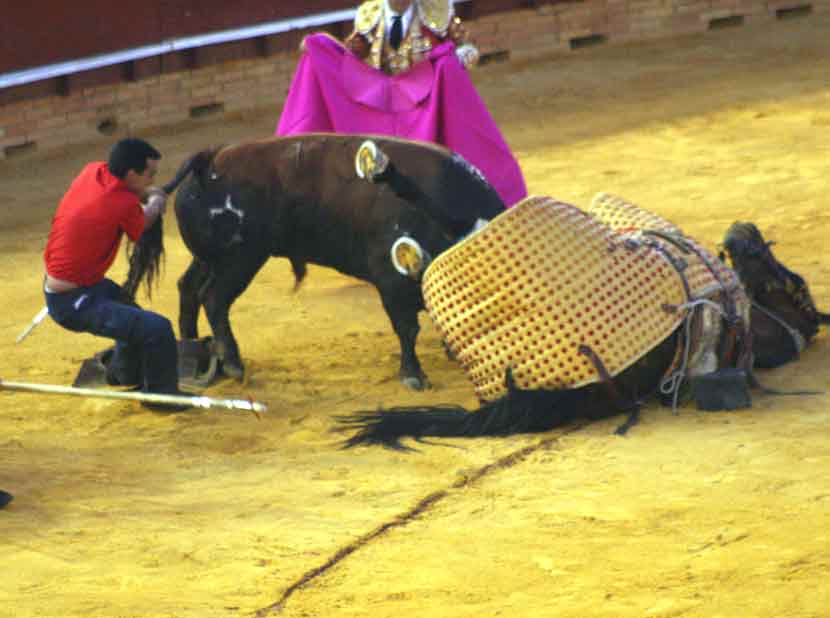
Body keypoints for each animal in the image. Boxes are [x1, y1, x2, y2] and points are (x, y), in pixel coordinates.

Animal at [167, 135, 508, 388]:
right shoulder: (391, 282)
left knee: (188, 288)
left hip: (210, 258)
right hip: (240, 259)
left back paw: (192, 353)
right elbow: (407, 329)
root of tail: (209, 158)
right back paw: (233, 364)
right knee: (214, 299)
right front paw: (413, 375)